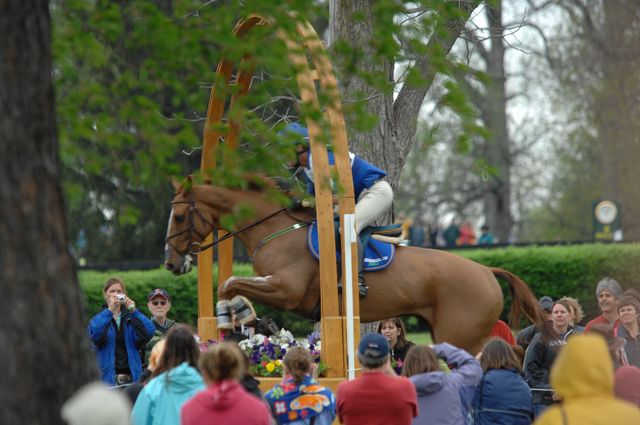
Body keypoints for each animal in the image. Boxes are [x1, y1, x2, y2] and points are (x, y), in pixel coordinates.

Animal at [165, 179, 540, 352]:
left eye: (180, 216)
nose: (171, 263)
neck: (276, 229)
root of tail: (487, 271)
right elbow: (230, 284)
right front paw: (249, 320)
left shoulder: (287, 290)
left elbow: (230, 284)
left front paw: (238, 316)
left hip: (460, 336)